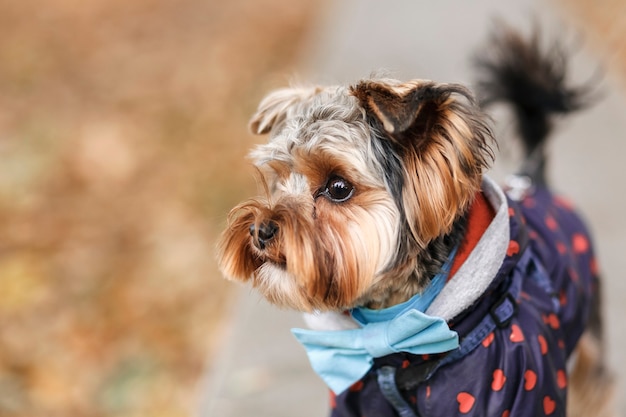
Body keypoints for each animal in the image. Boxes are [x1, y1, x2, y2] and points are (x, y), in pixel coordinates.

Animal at [217, 26, 612, 416]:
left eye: (338, 187)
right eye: (277, 179)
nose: (260, 230)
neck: (394, 323)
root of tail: (534, 179)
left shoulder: (519, 387)